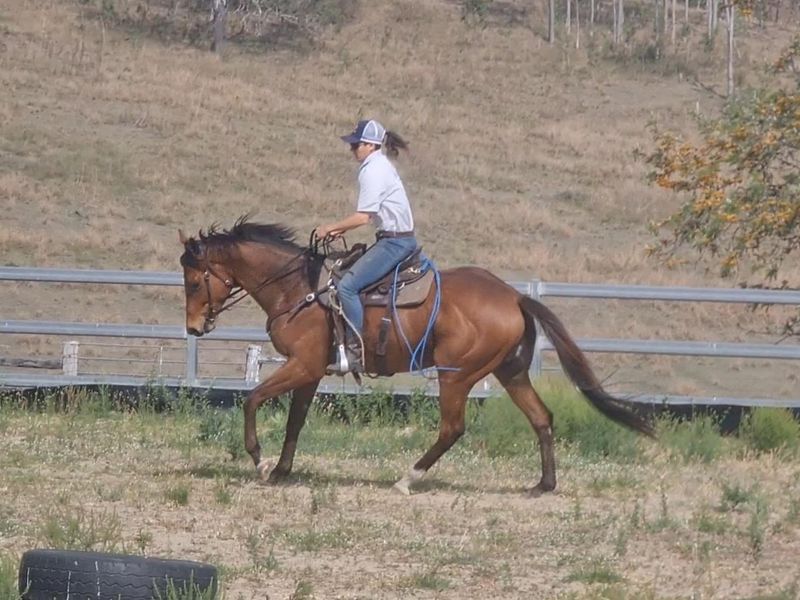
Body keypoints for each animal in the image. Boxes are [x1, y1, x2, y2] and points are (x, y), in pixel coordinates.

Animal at [178, 217, 654, 496]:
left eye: (194, 281)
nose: (194, 327)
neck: (301, 289)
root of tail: (514, 296)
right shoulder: (309, 373)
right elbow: (295, 420)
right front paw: (281, 470)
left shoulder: (302, 366)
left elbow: (252, 399)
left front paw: (260, 463)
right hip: (511, 371)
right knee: (541, 418)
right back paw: (544, 484)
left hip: (457, 375)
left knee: (452, 428)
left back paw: (408, 478)